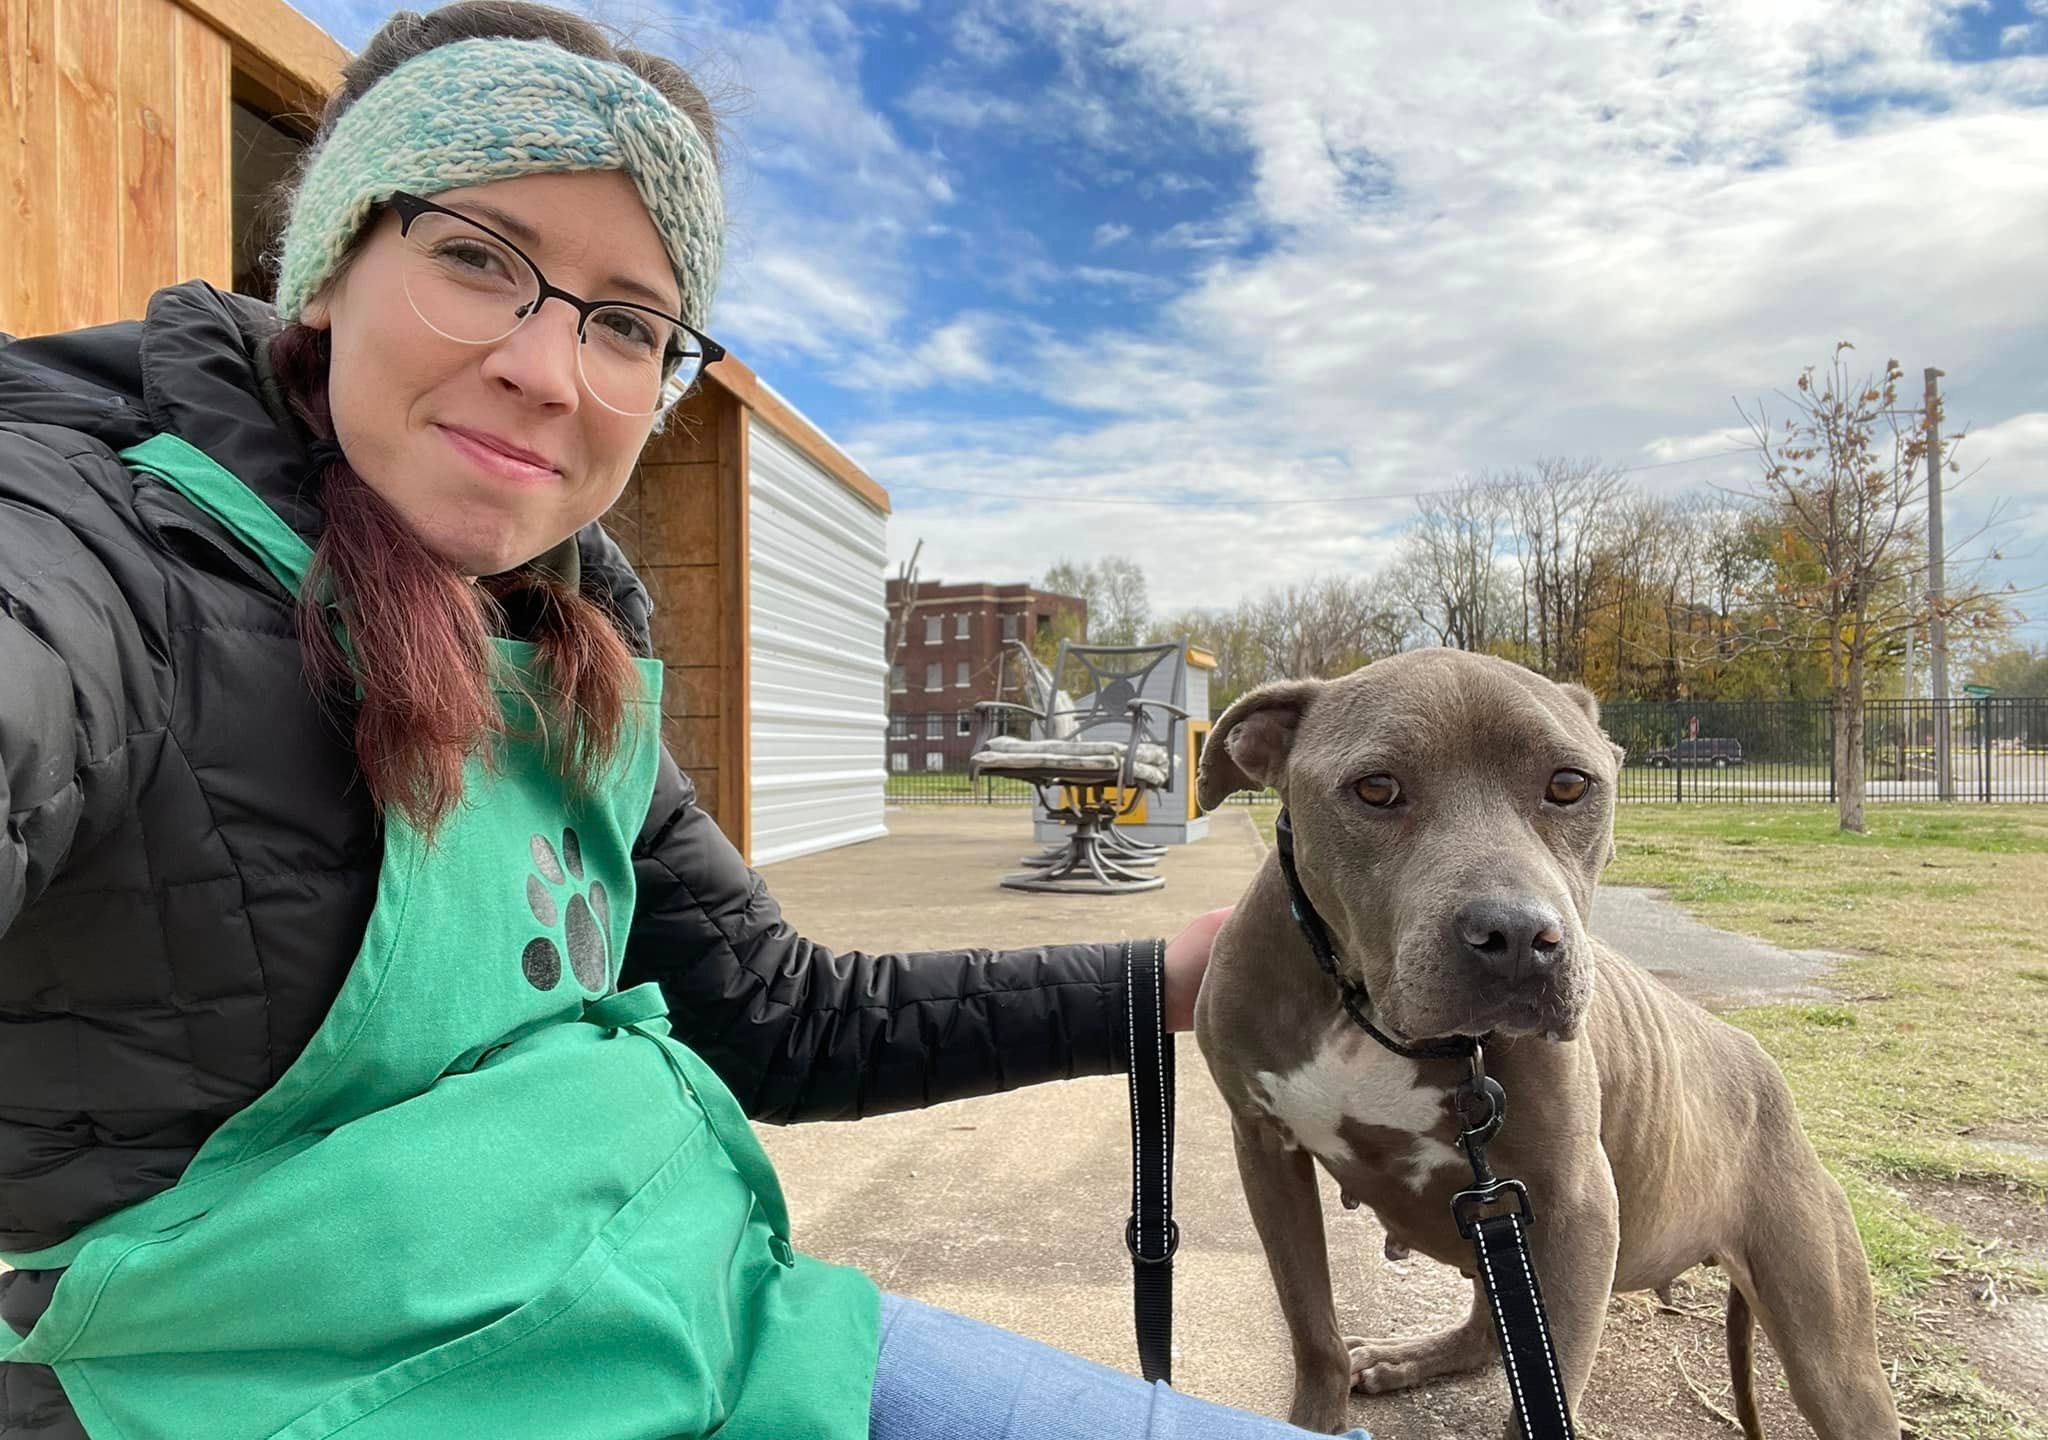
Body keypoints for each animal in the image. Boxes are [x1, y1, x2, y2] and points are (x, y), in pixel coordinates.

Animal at [1196, 655, 1892, 1440]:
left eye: (1568, 784)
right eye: (1376, 788)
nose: (1518, 937)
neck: (1368, 1013)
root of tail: (1761, 1066)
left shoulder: (1575, 1210)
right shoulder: (1264, 1149)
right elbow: (1312, 1324)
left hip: (1828, 1349)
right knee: (1482, 1327)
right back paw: (1409, 1358)